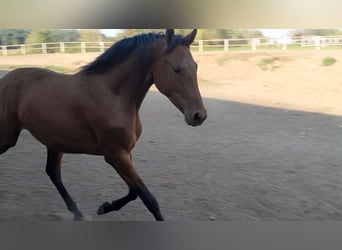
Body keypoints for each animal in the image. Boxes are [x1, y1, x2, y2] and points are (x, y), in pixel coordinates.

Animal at [0, 29, 206, 221]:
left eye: (196, 66)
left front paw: (104, 207)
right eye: (177, 69)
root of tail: (6, 80)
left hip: (54, 142)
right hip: (8, 138)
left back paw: (77, 213)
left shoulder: (125, 153)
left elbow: (134, 192)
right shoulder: (115, 155)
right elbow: (149, 199)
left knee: (53, 173)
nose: (199, 116)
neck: (114, 96)